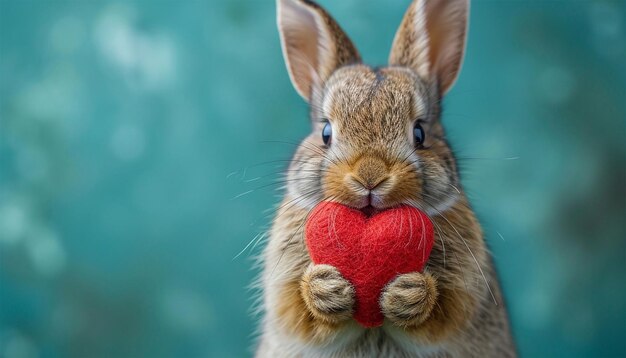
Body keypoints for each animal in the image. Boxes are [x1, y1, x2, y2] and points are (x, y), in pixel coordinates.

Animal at [254, 0, 512, 356]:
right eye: (326, 133)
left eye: (419, 133)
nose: (370, 176)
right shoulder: (284, 287)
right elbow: (299, 311)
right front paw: (326, 289)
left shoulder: (467, 290)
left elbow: (443, 314)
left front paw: (408, 293)